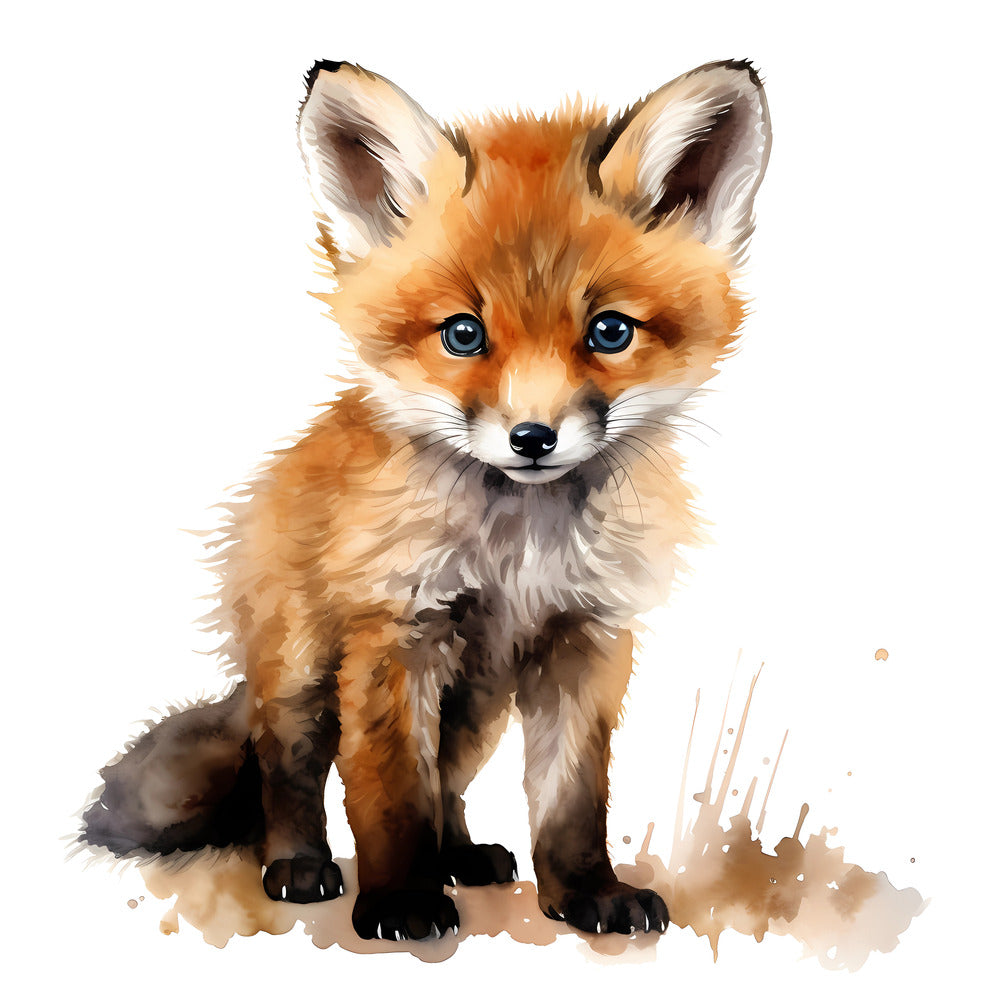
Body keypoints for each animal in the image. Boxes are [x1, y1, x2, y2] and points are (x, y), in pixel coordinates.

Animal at [81, 59, 770, 943]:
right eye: (464, 334)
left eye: (611, 332)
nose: (534, 437)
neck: (517, 550)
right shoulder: (394, 635)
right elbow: (389, 793)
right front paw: (401, 900)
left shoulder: (583, 639)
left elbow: (571, 798)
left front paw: (587, 892)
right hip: (302, 679)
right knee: (288, 776)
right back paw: (299, 863)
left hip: (479, 705)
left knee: (450, 779)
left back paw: (463, 855)